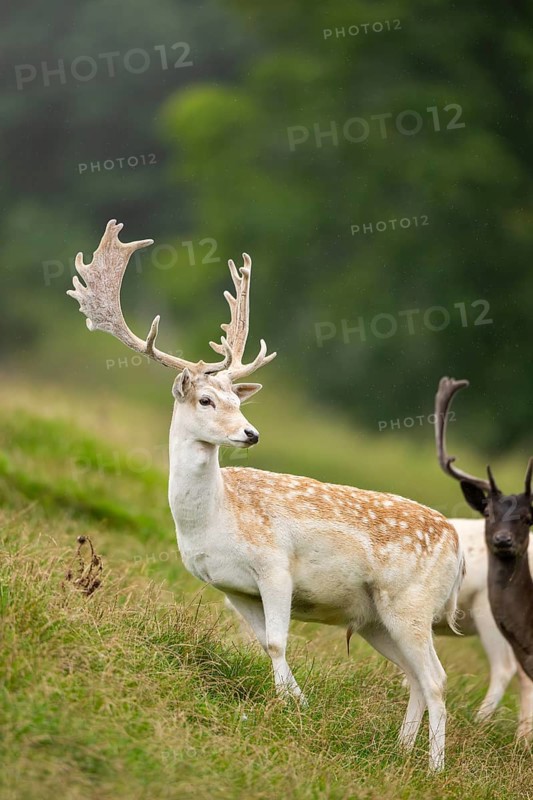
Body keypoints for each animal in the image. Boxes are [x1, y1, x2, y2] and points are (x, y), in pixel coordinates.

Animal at [68, 219, 465, 771]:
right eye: (206, 399)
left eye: (238, 401)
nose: (250, 433)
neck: (214, 521)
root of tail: (458, 546)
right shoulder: (230, 587)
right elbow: (265, 644)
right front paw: (297, 705)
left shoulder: (275, 564)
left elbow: (277, 642)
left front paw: (294, 711)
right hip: (375, 618)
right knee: (414, 678)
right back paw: (402, 753)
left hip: (411, 601)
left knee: (438, 679)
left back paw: (433, 769)